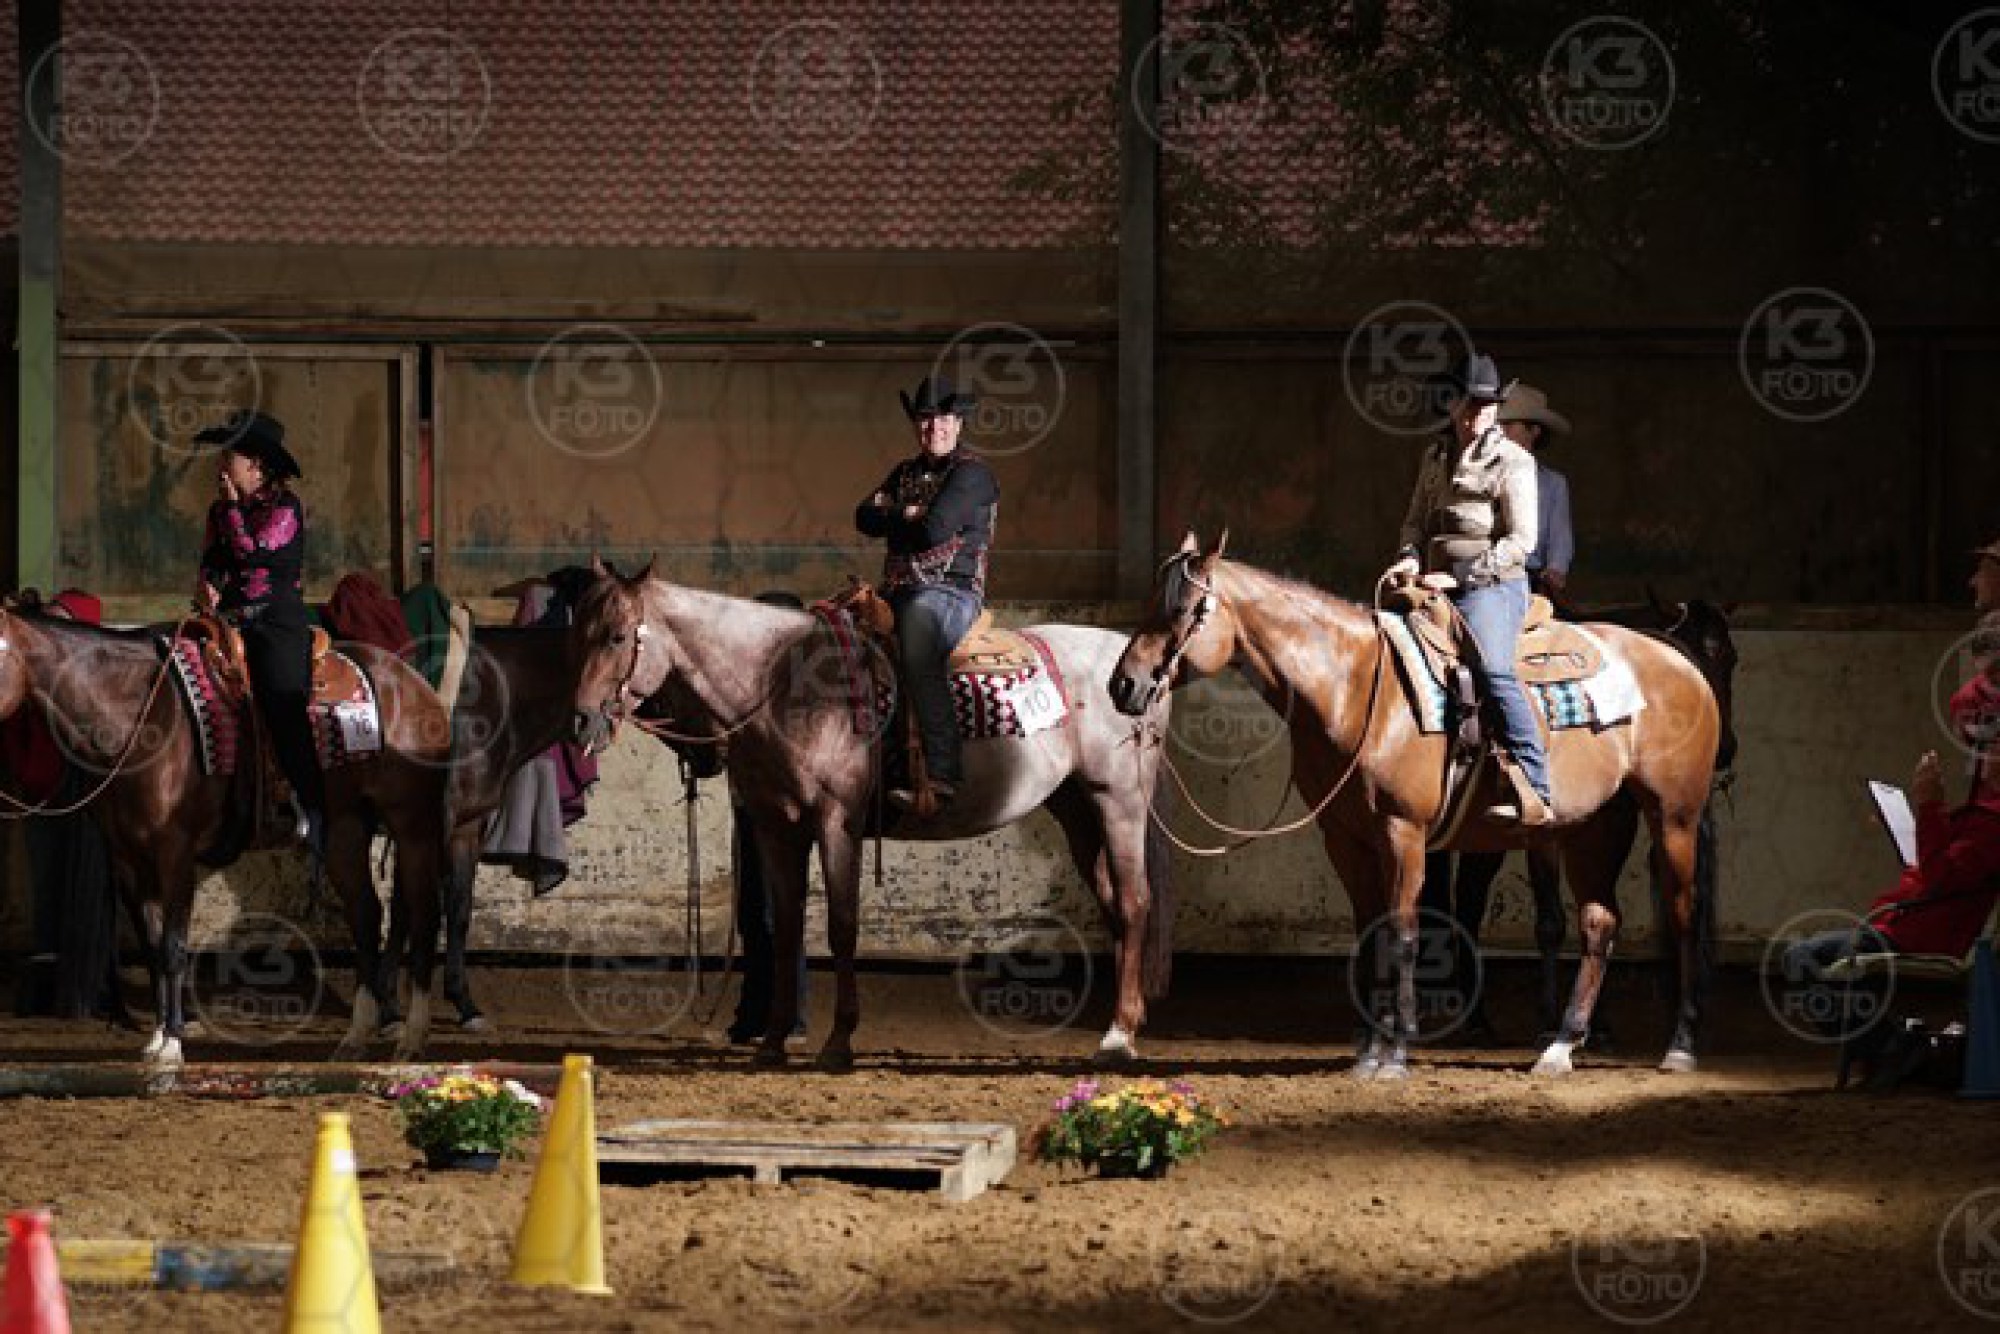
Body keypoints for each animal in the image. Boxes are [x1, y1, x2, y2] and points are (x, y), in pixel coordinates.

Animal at [0, 604, 452, 1066]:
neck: (141, 717)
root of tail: (412, 681)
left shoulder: (175, 852)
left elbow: (173, 946)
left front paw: (173, 1042)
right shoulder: (127, 859)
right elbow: (151, 946)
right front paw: (157, 1037)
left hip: (413, 824)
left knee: (424, 914)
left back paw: (412, 1037)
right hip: (346, 828)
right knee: (366, 915)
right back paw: (356, 1037)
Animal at [565, 560, 1177, 1069]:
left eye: (617, 635)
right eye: (579, 632)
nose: (581, 722)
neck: (782, 684)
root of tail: (1134, 665)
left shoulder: (838, 821)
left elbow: (841, 925)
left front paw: (839, 1041)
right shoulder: (776, 827)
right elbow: (787, 928)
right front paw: (772, 1041)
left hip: (1119, 803)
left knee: (1135, 901)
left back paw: (1118, 1036)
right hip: (1077, 809)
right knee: (1114, 904)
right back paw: (1126, 1020)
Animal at [1107, 532, 1721, 1078]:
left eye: (1184, 609)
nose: (1123, 686)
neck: (1354, 688)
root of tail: (1680, 662)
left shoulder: (1404, 833)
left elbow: (1404, 934)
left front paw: (1397, 1050)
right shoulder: (1345, 838)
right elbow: (1369, 932)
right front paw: (1367, 1049)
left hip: (1674, 817)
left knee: (1684, 912)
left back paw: (1681, 1044)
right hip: (1596, 825)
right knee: (1599, 920)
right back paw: (1561, 1046)